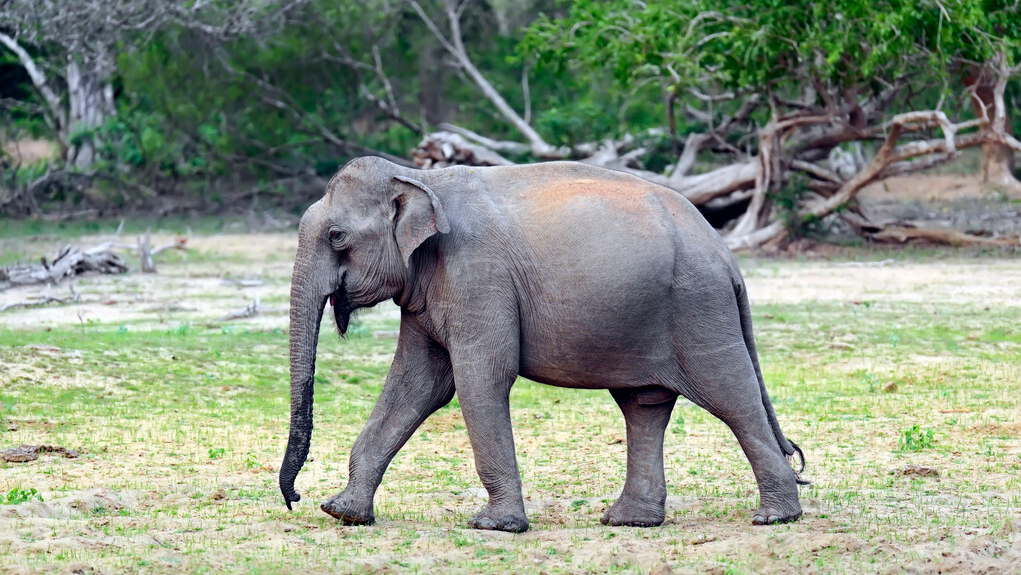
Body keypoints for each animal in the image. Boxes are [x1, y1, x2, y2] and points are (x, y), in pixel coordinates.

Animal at [277, 155, 804, 535]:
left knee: (730, 395)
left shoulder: (477, 277)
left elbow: (478, 379)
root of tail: (726, 254)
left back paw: (775, 517)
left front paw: (495, 527)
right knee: (644, 405)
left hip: (698, 307)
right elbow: (418, 385)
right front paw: (342, 513)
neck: (419, 177)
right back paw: (629, 521)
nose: (294, 498)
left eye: (337, 236)